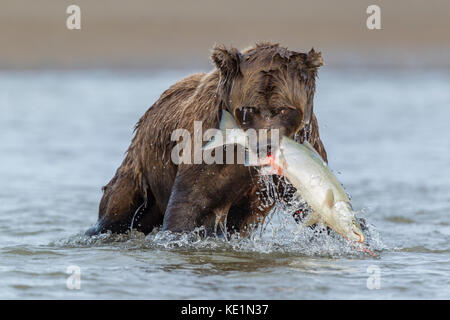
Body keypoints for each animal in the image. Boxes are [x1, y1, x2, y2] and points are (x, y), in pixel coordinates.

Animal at [86, 42, 328, 238]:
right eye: (249, 109)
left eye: (284, 109)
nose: (265, 146)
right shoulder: (210, 153)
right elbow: (187, 205)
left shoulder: (304, 161)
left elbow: (315, 208)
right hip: (142, 170)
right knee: (117, 209)